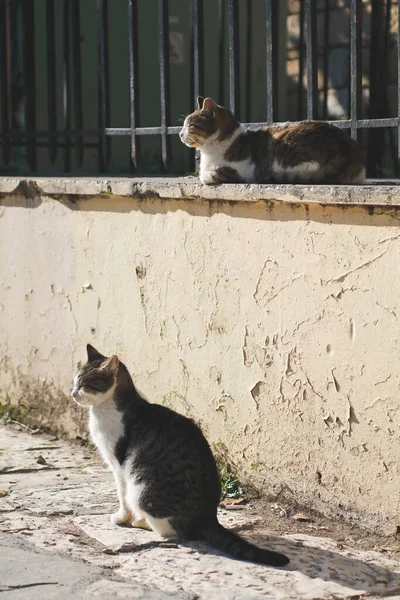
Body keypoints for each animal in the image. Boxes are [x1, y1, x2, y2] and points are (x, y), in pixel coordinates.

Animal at [72, 342, 290, 568]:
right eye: (75, 381)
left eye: (84, 385)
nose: (72, 394)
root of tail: (208, 517)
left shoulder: (119, 465)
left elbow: (122, 496)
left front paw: (121, 518)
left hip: (142, 490)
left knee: (175, 532)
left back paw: (142, 522)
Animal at [181, 96, 366, 184]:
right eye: (182, 126)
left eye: (190, 125)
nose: (180, 134)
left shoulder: (237, 171)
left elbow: (206, 175)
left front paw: (204, 174)